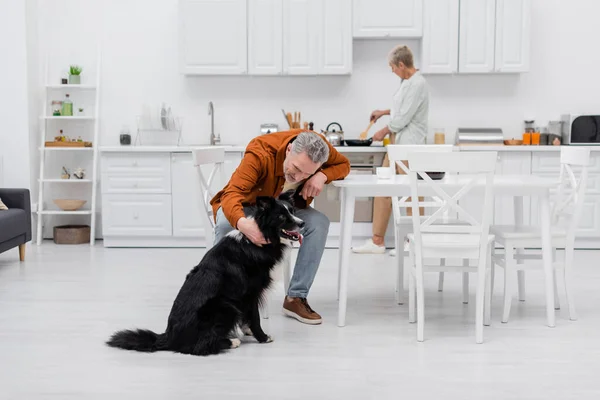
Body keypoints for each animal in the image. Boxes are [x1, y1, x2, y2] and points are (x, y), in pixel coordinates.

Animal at [106, 192, 304, 354]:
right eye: (281, 216)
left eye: (292, 210)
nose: (302, 223)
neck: (260, 237)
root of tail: (169, 336)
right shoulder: (250, 292)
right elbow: (255, 317)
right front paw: (262, 337)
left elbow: (248, 316)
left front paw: (247, 330)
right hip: (225, 306)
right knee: (198, 348)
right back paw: (231, 342)